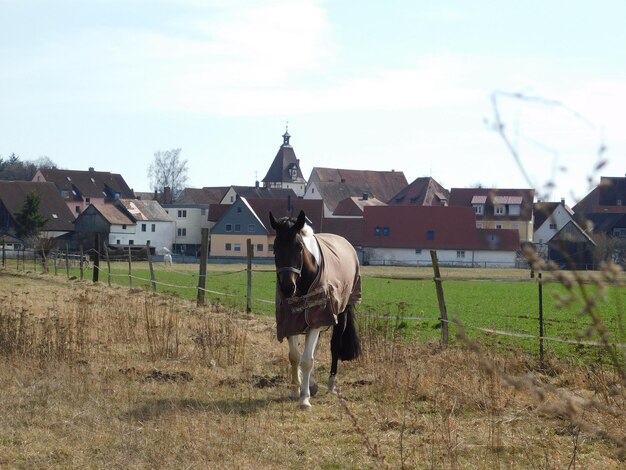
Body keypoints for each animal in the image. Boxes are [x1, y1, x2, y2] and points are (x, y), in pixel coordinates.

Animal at [268, 211, 360, 410]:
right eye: (275, 247)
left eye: (299, 247)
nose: (287, 288)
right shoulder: (291, 321)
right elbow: (295, 357)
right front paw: (296, 391)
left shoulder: (316, 319)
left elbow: (307, 360)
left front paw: (304, 399)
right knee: (315, 348)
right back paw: (312, 384)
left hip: (340, 314)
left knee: (334, 346)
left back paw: (330, 385)